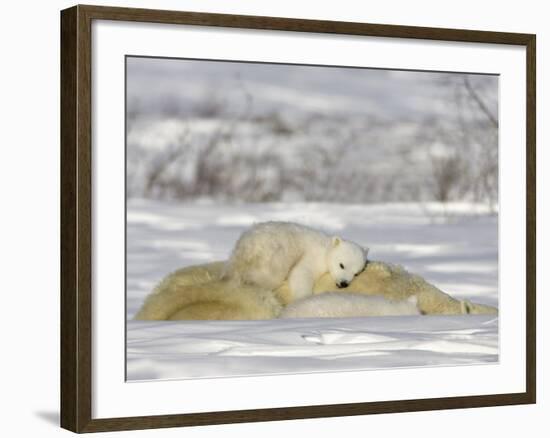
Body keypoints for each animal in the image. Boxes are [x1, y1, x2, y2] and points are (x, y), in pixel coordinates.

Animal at [222, 222, 368, 302]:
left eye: (356, 273)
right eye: (341, 265)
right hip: (274, 254)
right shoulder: (313, 256)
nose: (344, 283)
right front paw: (303, 297)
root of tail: (246, 247)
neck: (326, 247)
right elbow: (301, 273)